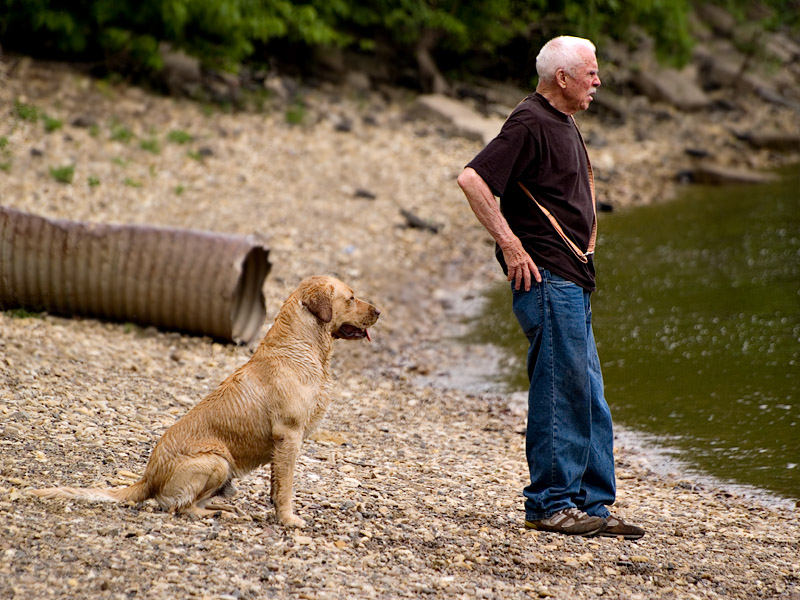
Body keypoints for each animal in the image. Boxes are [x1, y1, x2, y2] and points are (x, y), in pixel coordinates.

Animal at [31, 274, 382, 528]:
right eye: (351, 298)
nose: (379, 311)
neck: (303, 347)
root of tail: (148, 478)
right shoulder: (289, 435)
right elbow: (285, 487)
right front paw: (288, 519)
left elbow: (275, 486)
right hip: (216, 460)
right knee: (179, 507)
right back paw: (210, 514)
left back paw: (223, 508)